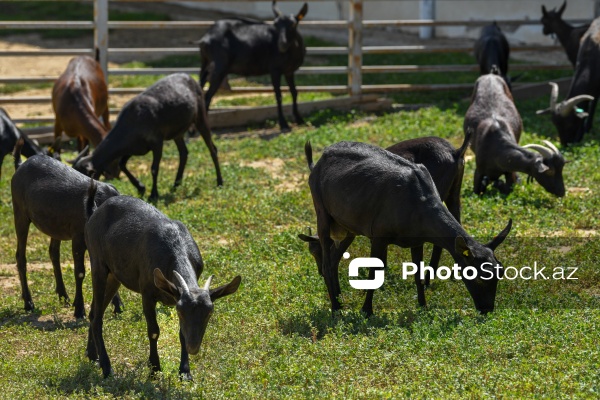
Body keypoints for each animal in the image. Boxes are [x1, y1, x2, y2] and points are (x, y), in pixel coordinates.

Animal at [72, 72, 223, 200]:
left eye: (85, 175)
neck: (132, 122)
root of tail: (189, 77)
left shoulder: (157, 143)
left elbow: (154, 169)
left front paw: (153, 194)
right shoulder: (133, 148)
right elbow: (122, 164)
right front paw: (141, 187)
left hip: (201, 117)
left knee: (212, 149)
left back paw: (219, 182)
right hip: (177, 132)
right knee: (183, 153)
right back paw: (176, 184)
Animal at [84, 180, 241, 380]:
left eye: (209, 312)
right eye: (181, 311)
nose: (193, 347)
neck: (174, 247)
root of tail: (94, 212)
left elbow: (181, 332)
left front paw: (185, 372)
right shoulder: (147, 293)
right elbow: (153, 331)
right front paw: (154, 368)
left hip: (114, 276)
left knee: (94, 312)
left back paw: (92, 356)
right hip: (98, 265)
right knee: (97, 316)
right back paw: (106, 367)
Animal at [198, 0, 310, 131]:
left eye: (293, 24)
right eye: (275, 24)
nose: (281, 44)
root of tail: (206, 38)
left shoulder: (289, 71)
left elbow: (294, 92)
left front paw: (300, 120)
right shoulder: (275, 69)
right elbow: (279, 95)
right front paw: (283, 124)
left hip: (206, 63)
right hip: (219, 67)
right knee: (207, 97)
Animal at [304, 142, 510, 318]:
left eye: (500, 271)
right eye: (477, 277)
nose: (487, 309)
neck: (418, 207)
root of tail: (316, 164)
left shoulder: (417, 241)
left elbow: (418, 273)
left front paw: (423, 306)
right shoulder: (379, 235)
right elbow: (374, 273)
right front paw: (366, 311)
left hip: (348, 226)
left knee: (333, 260)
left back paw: (339, 302)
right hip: (321, 211)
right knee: (327, 261)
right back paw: (335, 308)